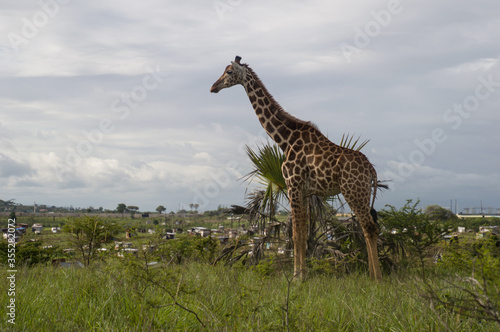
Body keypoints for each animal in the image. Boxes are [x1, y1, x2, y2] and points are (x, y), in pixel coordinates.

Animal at [211, 55, 382, 278]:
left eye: (229, 72)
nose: (213, 87)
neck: (285, 139)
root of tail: (371, 171)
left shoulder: (293, 184)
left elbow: (296, 235)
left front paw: (297, 276)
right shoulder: (304, 190)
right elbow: (301, 233)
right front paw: (303, 274)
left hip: (353, 191)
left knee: (370, 228)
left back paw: (377, 278)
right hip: (362, 193)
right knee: (367, 227)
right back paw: (371, 273)